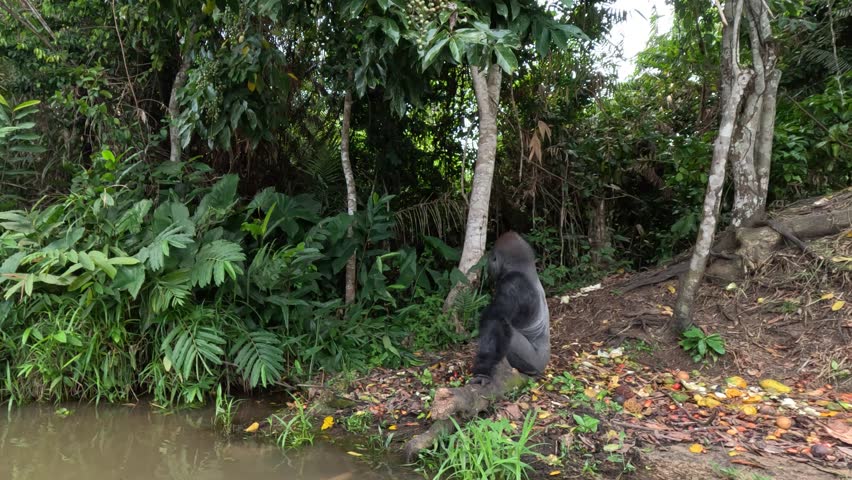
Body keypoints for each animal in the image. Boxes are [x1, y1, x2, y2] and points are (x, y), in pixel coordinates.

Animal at [469, 231, 550, 385]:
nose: (488, 263)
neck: (525, 270)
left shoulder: (513, 284)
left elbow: (495, 319)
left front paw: (483, 371)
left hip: (535, 362)